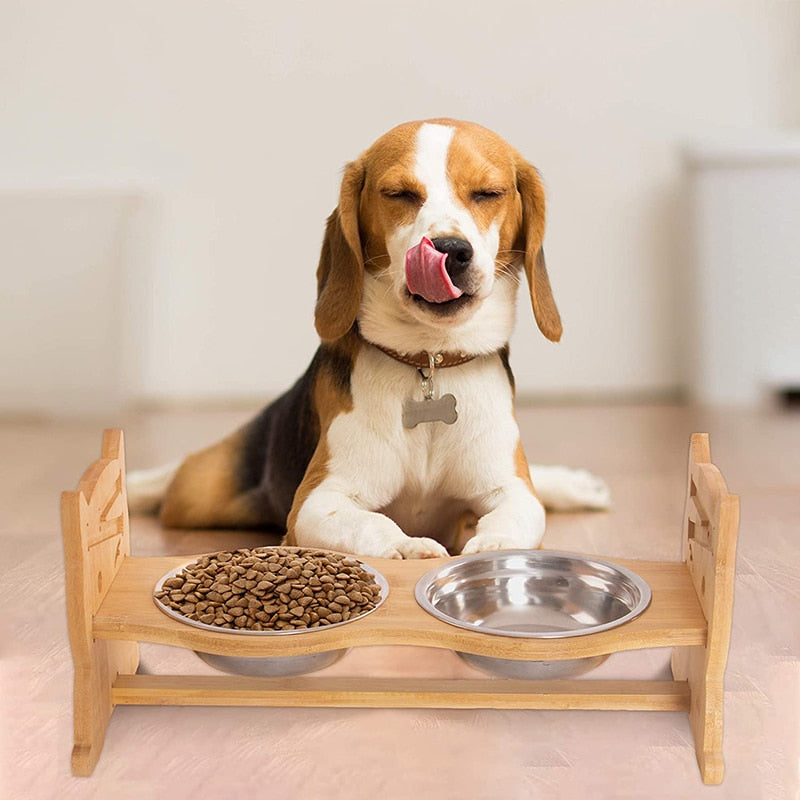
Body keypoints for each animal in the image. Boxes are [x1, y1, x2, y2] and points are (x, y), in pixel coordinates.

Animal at [128, 119, 608, 560]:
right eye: (399, 194)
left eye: (488, 193)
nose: (450, 249)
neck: (429, 362)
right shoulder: (318, 502)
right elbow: (370, 524)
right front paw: (410, 547)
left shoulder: (510, 489)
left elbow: (517, 514)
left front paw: (493, 547)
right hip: (198, 491)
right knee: (172, 478)